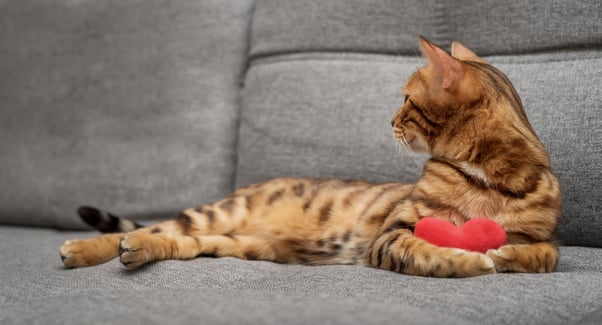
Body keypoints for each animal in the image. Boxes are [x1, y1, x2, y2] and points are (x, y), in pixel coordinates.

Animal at [58, 38, 560, 276]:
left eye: (405, 99)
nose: (388, 120)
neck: (486, 175)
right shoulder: (393, 232)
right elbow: (427, 250)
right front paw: (472, 259)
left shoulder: (544, 236)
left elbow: (546, 254)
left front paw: (505, 253)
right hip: (220, 212)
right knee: (154, 227)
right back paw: (83, 249)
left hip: (237, 242)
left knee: (173, 241)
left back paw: (132, 250)